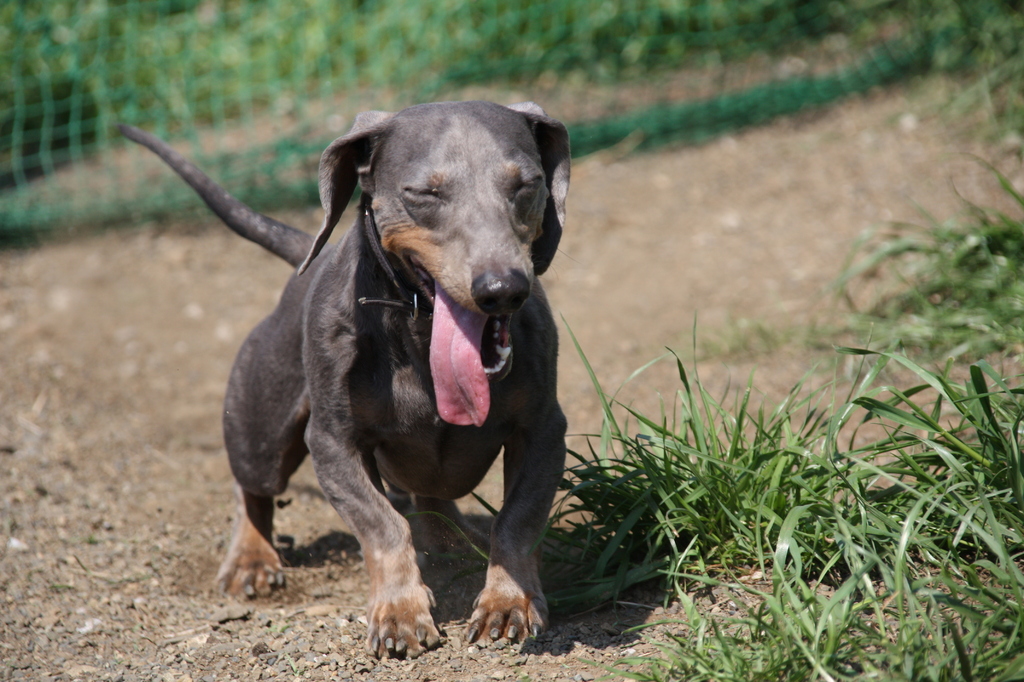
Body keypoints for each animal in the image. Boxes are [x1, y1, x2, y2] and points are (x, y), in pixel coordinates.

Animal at [121, 98, 569, 655]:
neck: (418, 339)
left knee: (432, 499)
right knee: (251, 488)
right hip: (260, 432)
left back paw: (451, 542)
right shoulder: (333, 443)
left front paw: (507, 603)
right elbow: (383, 525)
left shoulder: (544, 431)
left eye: (526, 184)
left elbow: (517, 518)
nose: (502, 288)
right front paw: (400, 611)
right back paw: (251, 557)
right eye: (424, 193)